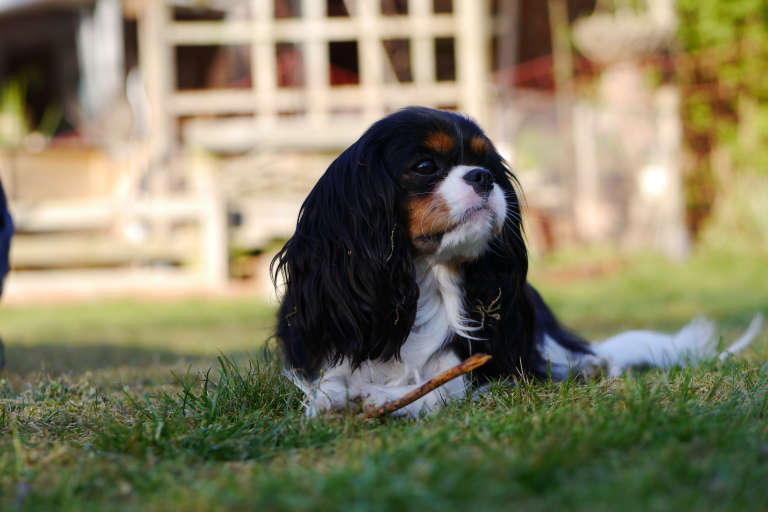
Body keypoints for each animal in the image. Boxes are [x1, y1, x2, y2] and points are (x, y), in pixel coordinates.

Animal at [272, 107, 763, 417]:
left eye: (488, 164)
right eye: (425, 165)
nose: (482, 177)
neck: (424, 283)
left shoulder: (484, 363)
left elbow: (444, 385)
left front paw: (392, 398)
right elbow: (327, 383)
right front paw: (331, 401)